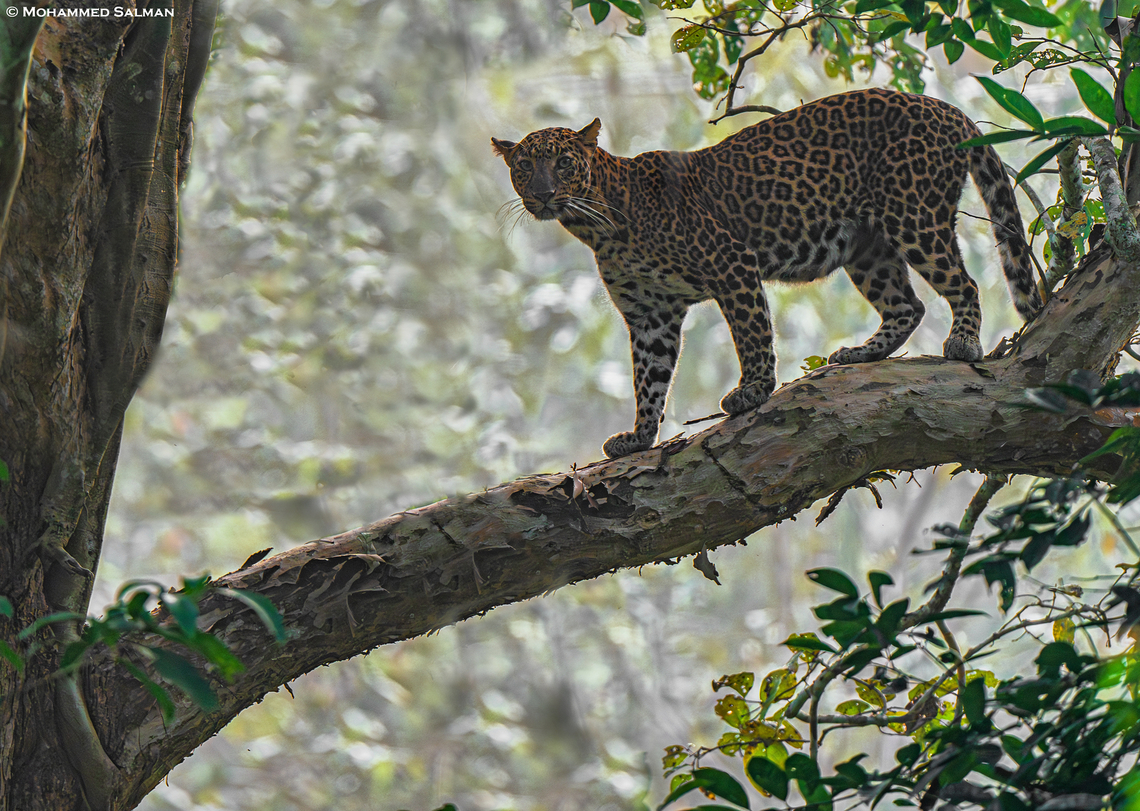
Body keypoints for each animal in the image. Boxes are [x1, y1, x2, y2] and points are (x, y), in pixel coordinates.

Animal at [492, 87, 1043, 459]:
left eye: (564, 163)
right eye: (522, 168)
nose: (542, 194)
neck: (596, 223)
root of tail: (945, 107)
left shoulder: (732, 264)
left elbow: (752, 334)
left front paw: (754, 391)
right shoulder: (650, 317)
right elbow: (648, 380)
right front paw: (640, 437)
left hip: (914, 217)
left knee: (963, 283)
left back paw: (964, 343)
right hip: (867, 248)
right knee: (907, 305)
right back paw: (860, 353)